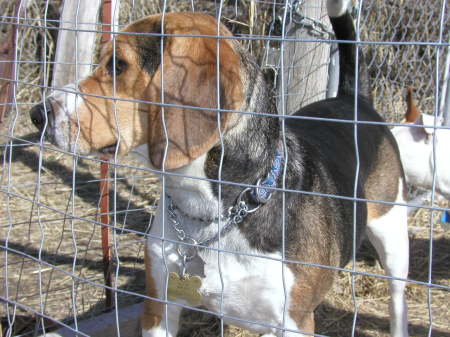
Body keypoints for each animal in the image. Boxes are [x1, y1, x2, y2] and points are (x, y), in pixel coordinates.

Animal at [29, 1, 412, 334]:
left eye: (118, 65)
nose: (37, 114)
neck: (211, 213)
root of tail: (352, 99)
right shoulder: (157, 306)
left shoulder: (295, 321)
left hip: (393, 237)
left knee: (397, 298)